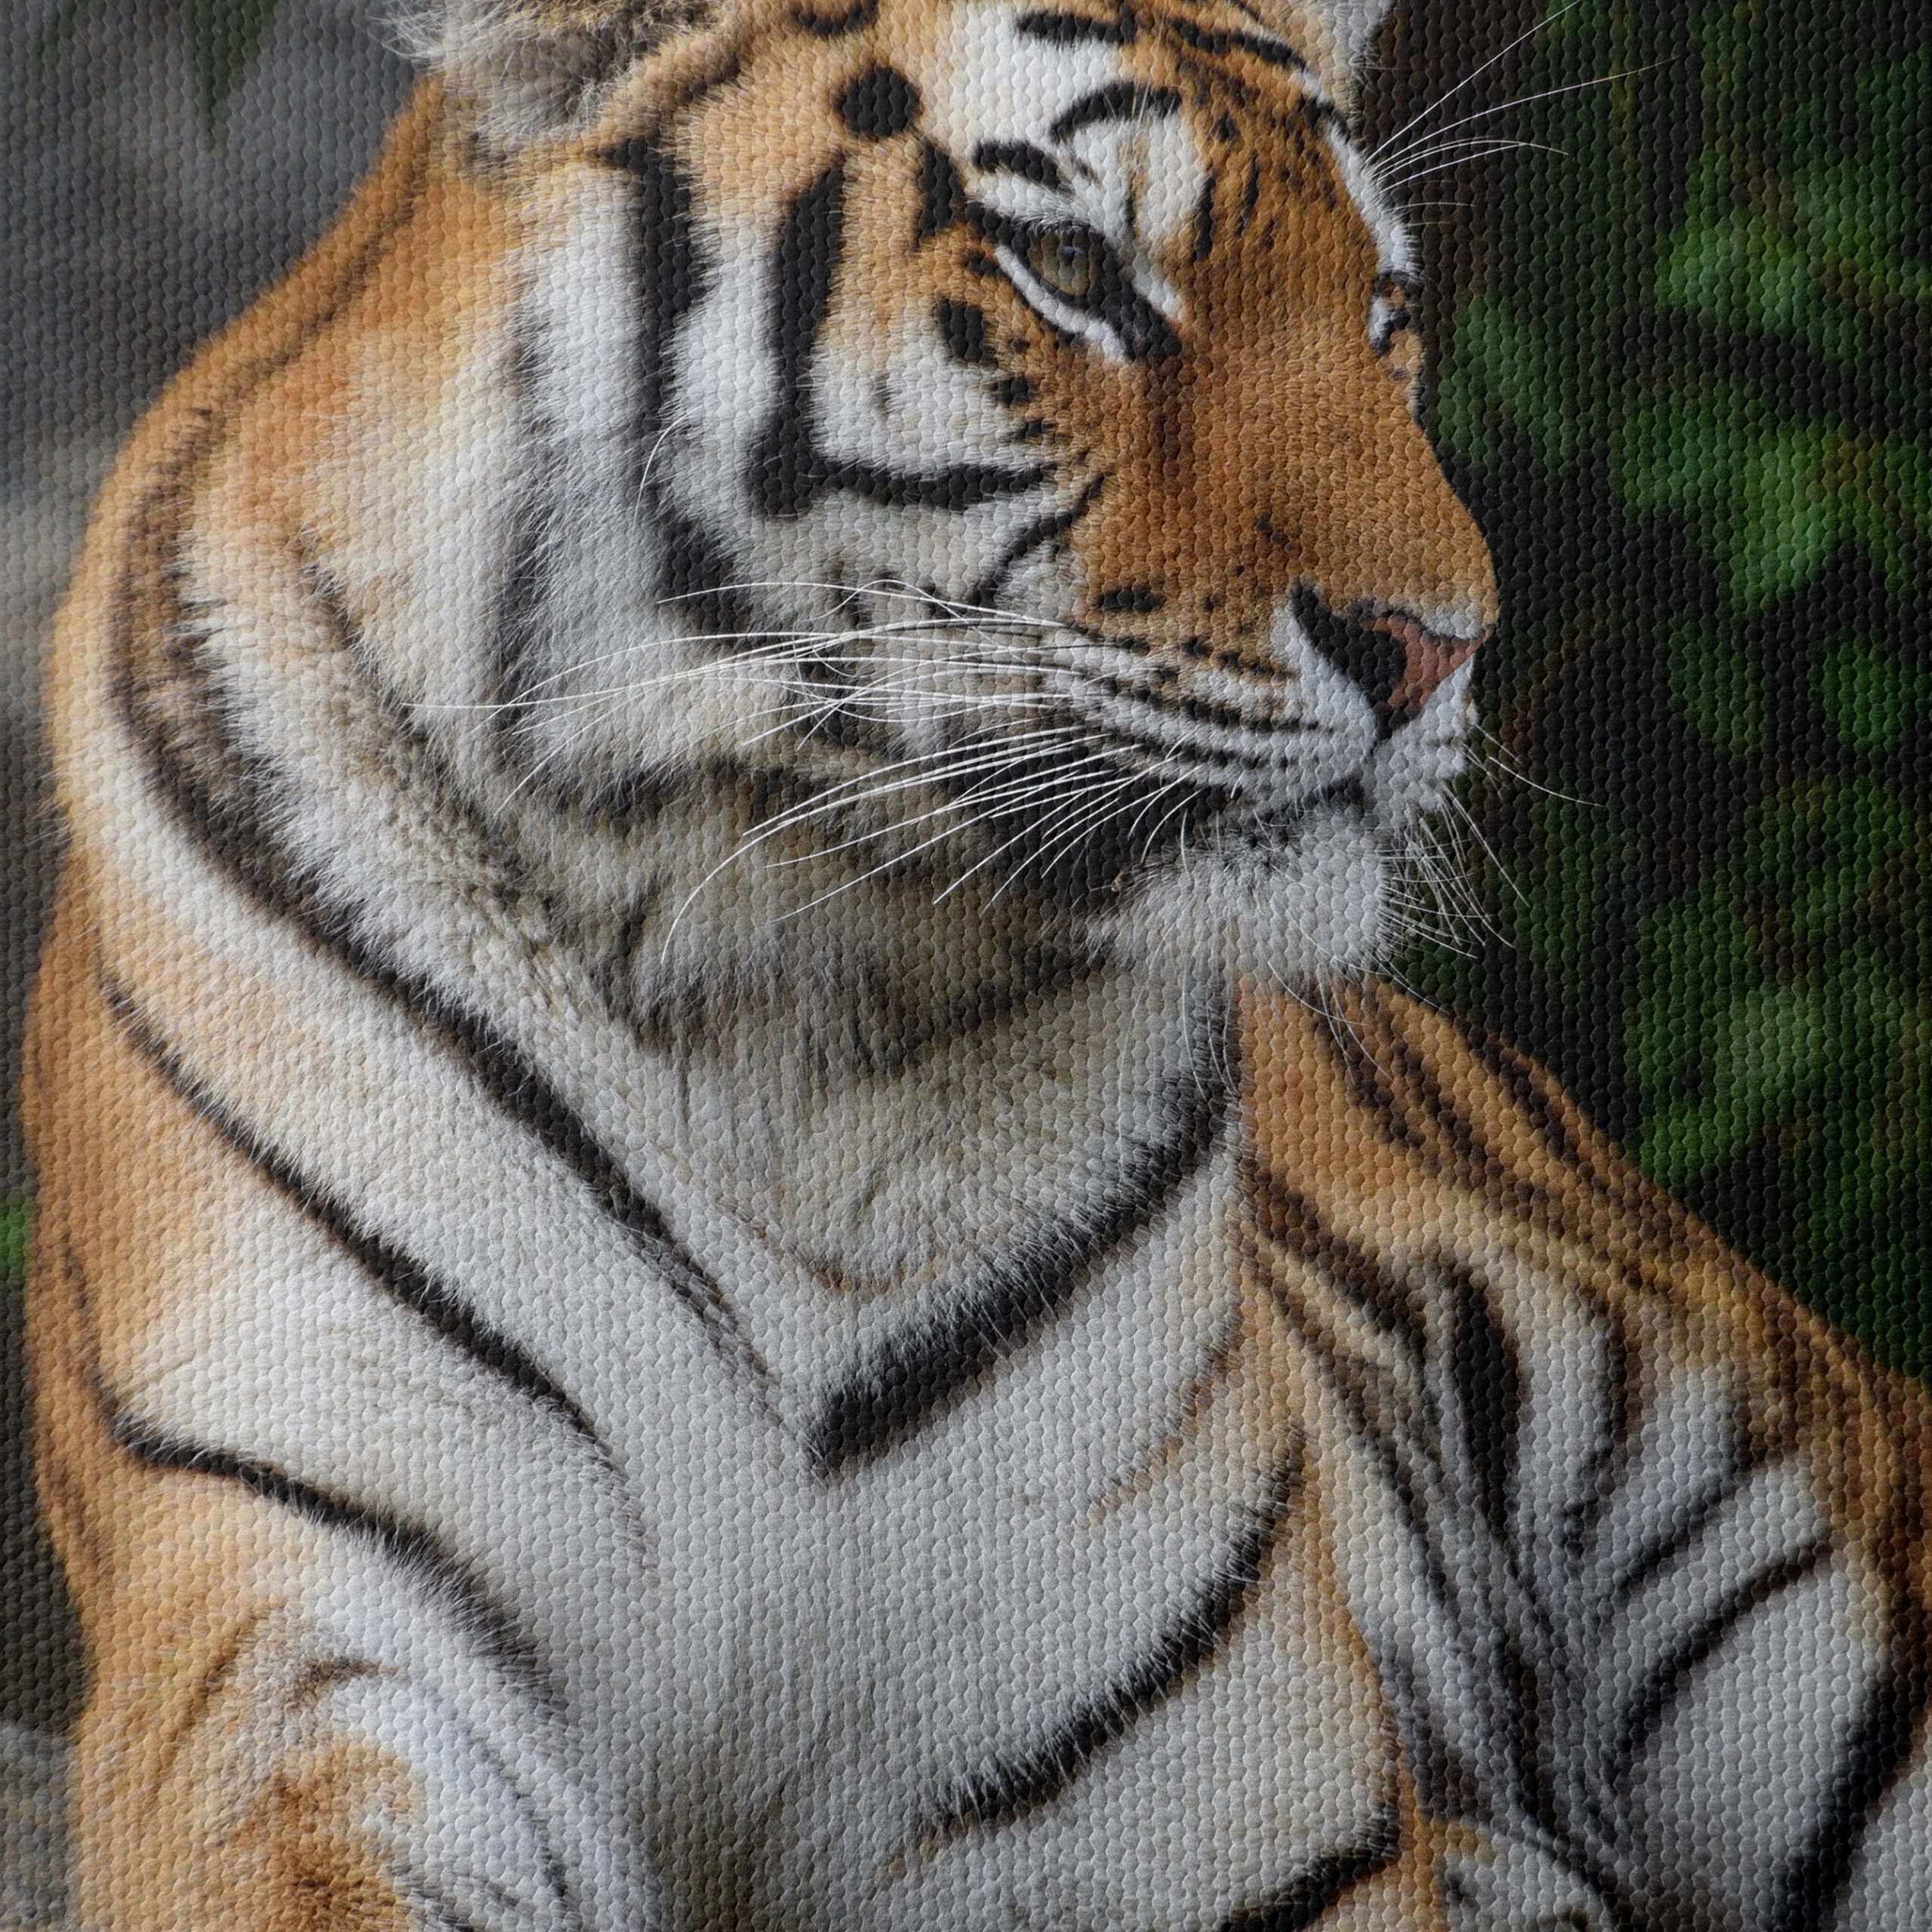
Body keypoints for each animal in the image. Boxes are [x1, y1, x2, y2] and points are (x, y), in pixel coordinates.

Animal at [22, 0, 1932, 1921]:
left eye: (1381, 310)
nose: (1438, 647)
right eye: (1072, 273)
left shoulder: (1157, 1723)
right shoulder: (318, 1599)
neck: (769, 988)